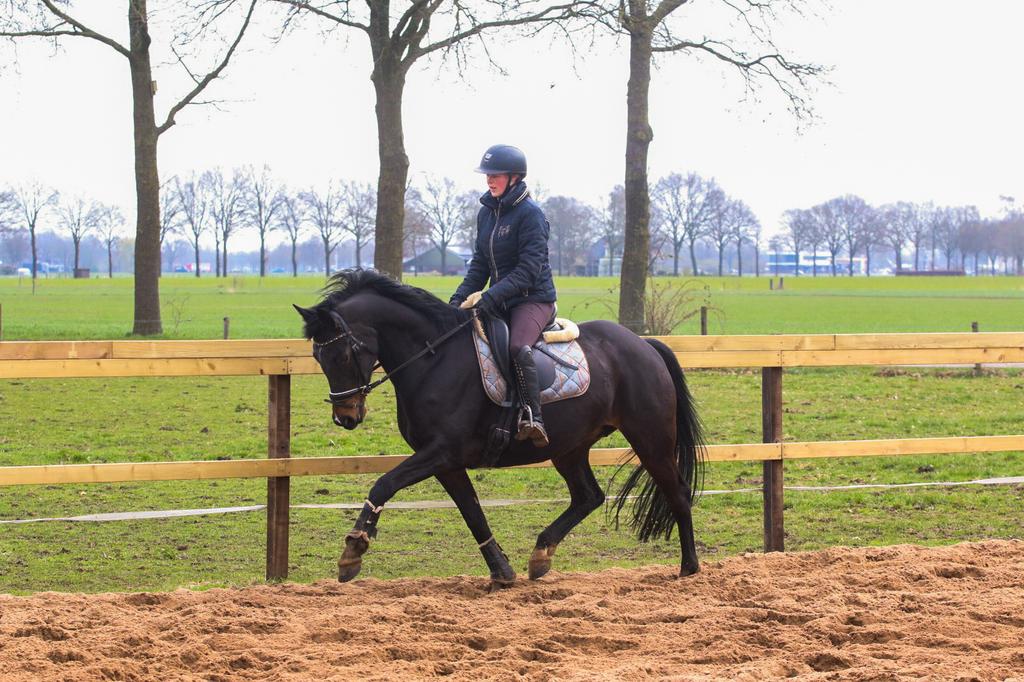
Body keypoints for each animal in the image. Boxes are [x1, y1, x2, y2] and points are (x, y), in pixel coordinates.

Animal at [294, 269, 705, 589]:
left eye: (343, 354)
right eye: (317, 355)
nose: (345, 417)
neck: (433, 359)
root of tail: (644, 345)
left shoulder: (440, 452)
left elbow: (383, 484)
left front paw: (353, 551)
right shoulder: (446, 462)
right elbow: (473, 513)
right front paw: (502, 571)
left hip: (650, 438)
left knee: (677, 493)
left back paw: (689, 567)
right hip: (570, 448)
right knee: (588, 496)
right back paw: (541, 555)